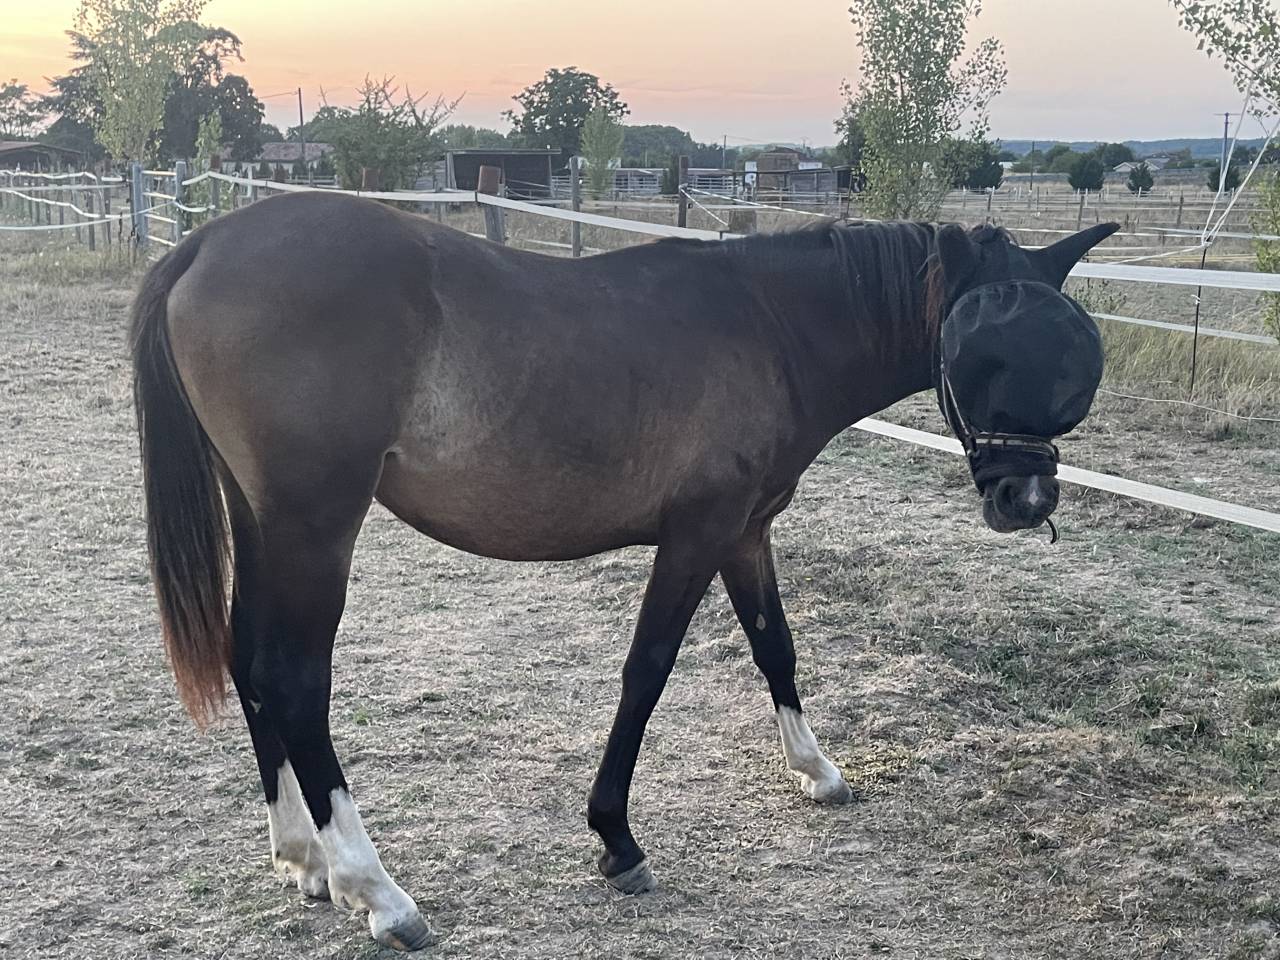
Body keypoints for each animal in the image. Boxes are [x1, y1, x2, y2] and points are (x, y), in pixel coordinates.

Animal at [130, 190, 1117, 950]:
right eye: (977, 352)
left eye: (1073, 363)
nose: (1025, 498)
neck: (770, 325)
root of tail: (207, 242)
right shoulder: (697, 535)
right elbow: (647, 672)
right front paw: (617, 837)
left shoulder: (745, 533)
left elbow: (777, 650)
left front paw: (818, 771)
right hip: (314, 526)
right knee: (295, 680)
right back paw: (378, 892)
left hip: (263, 522)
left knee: (250, 663)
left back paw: (303, 858)